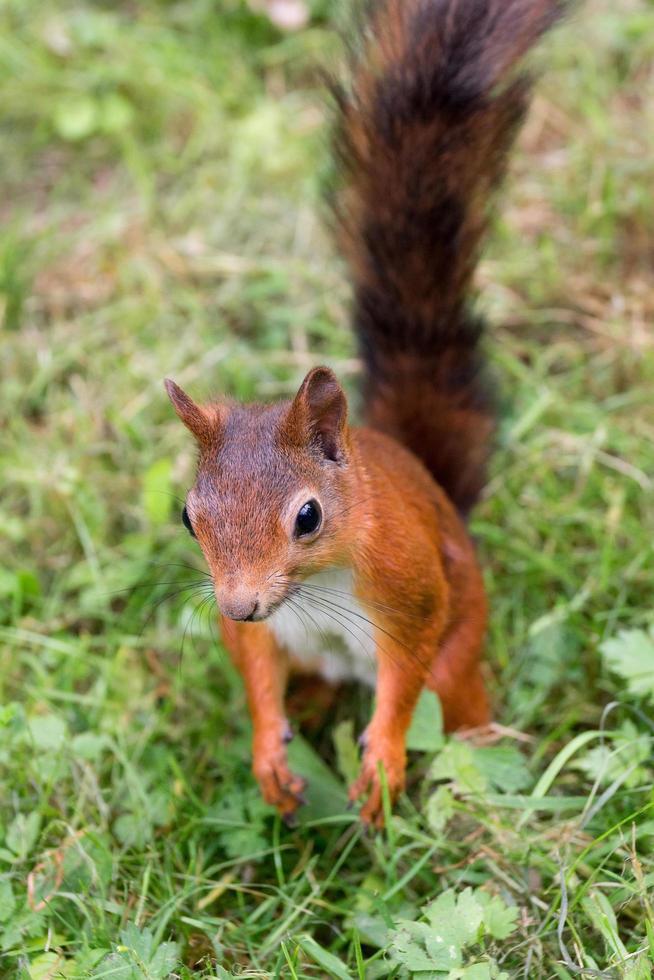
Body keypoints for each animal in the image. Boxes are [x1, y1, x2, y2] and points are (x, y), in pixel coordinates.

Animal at [165, 0, 568, 828]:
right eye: (190, 517)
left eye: (308, 516)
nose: (242, 603)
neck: (314, 587)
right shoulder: (261, 632)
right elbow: (255, 669)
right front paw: (267, 755)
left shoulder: (410, 584)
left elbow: (406, 671)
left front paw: (381, 764)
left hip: (461, 651)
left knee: (449, 700)